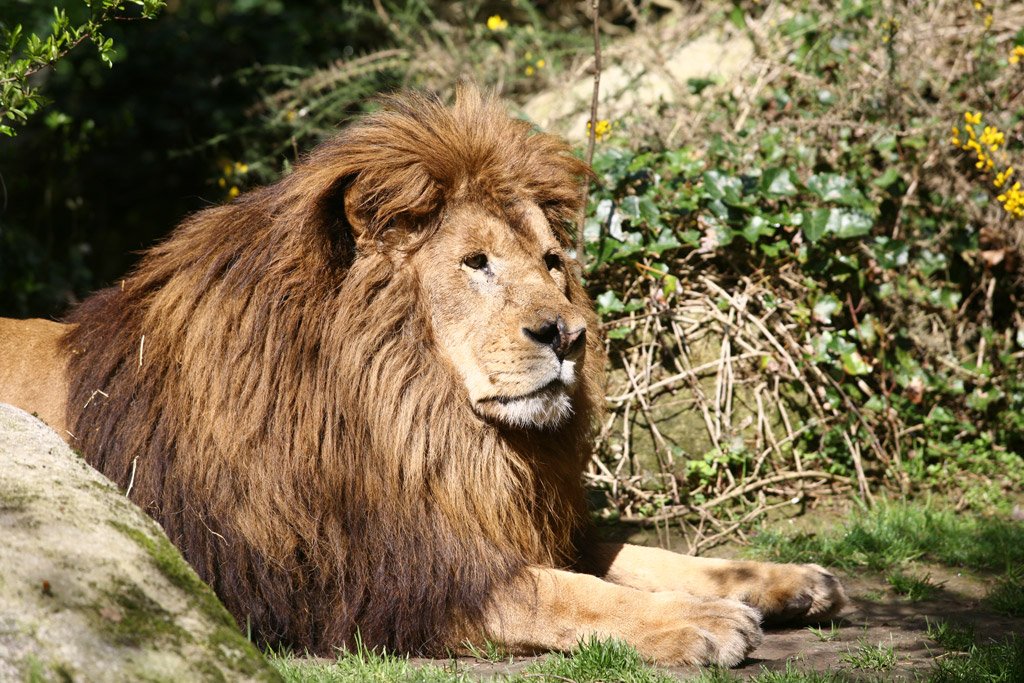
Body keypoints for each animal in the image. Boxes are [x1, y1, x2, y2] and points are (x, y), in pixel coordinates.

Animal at [0, 85, 847, 667]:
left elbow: (643, 556)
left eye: (552, 262)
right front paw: (700, 620)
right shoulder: (382, 576)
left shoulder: (478, 520)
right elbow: (566, 590)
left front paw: (783, 579)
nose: (569, 335)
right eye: (475, 263)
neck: (421, 418)